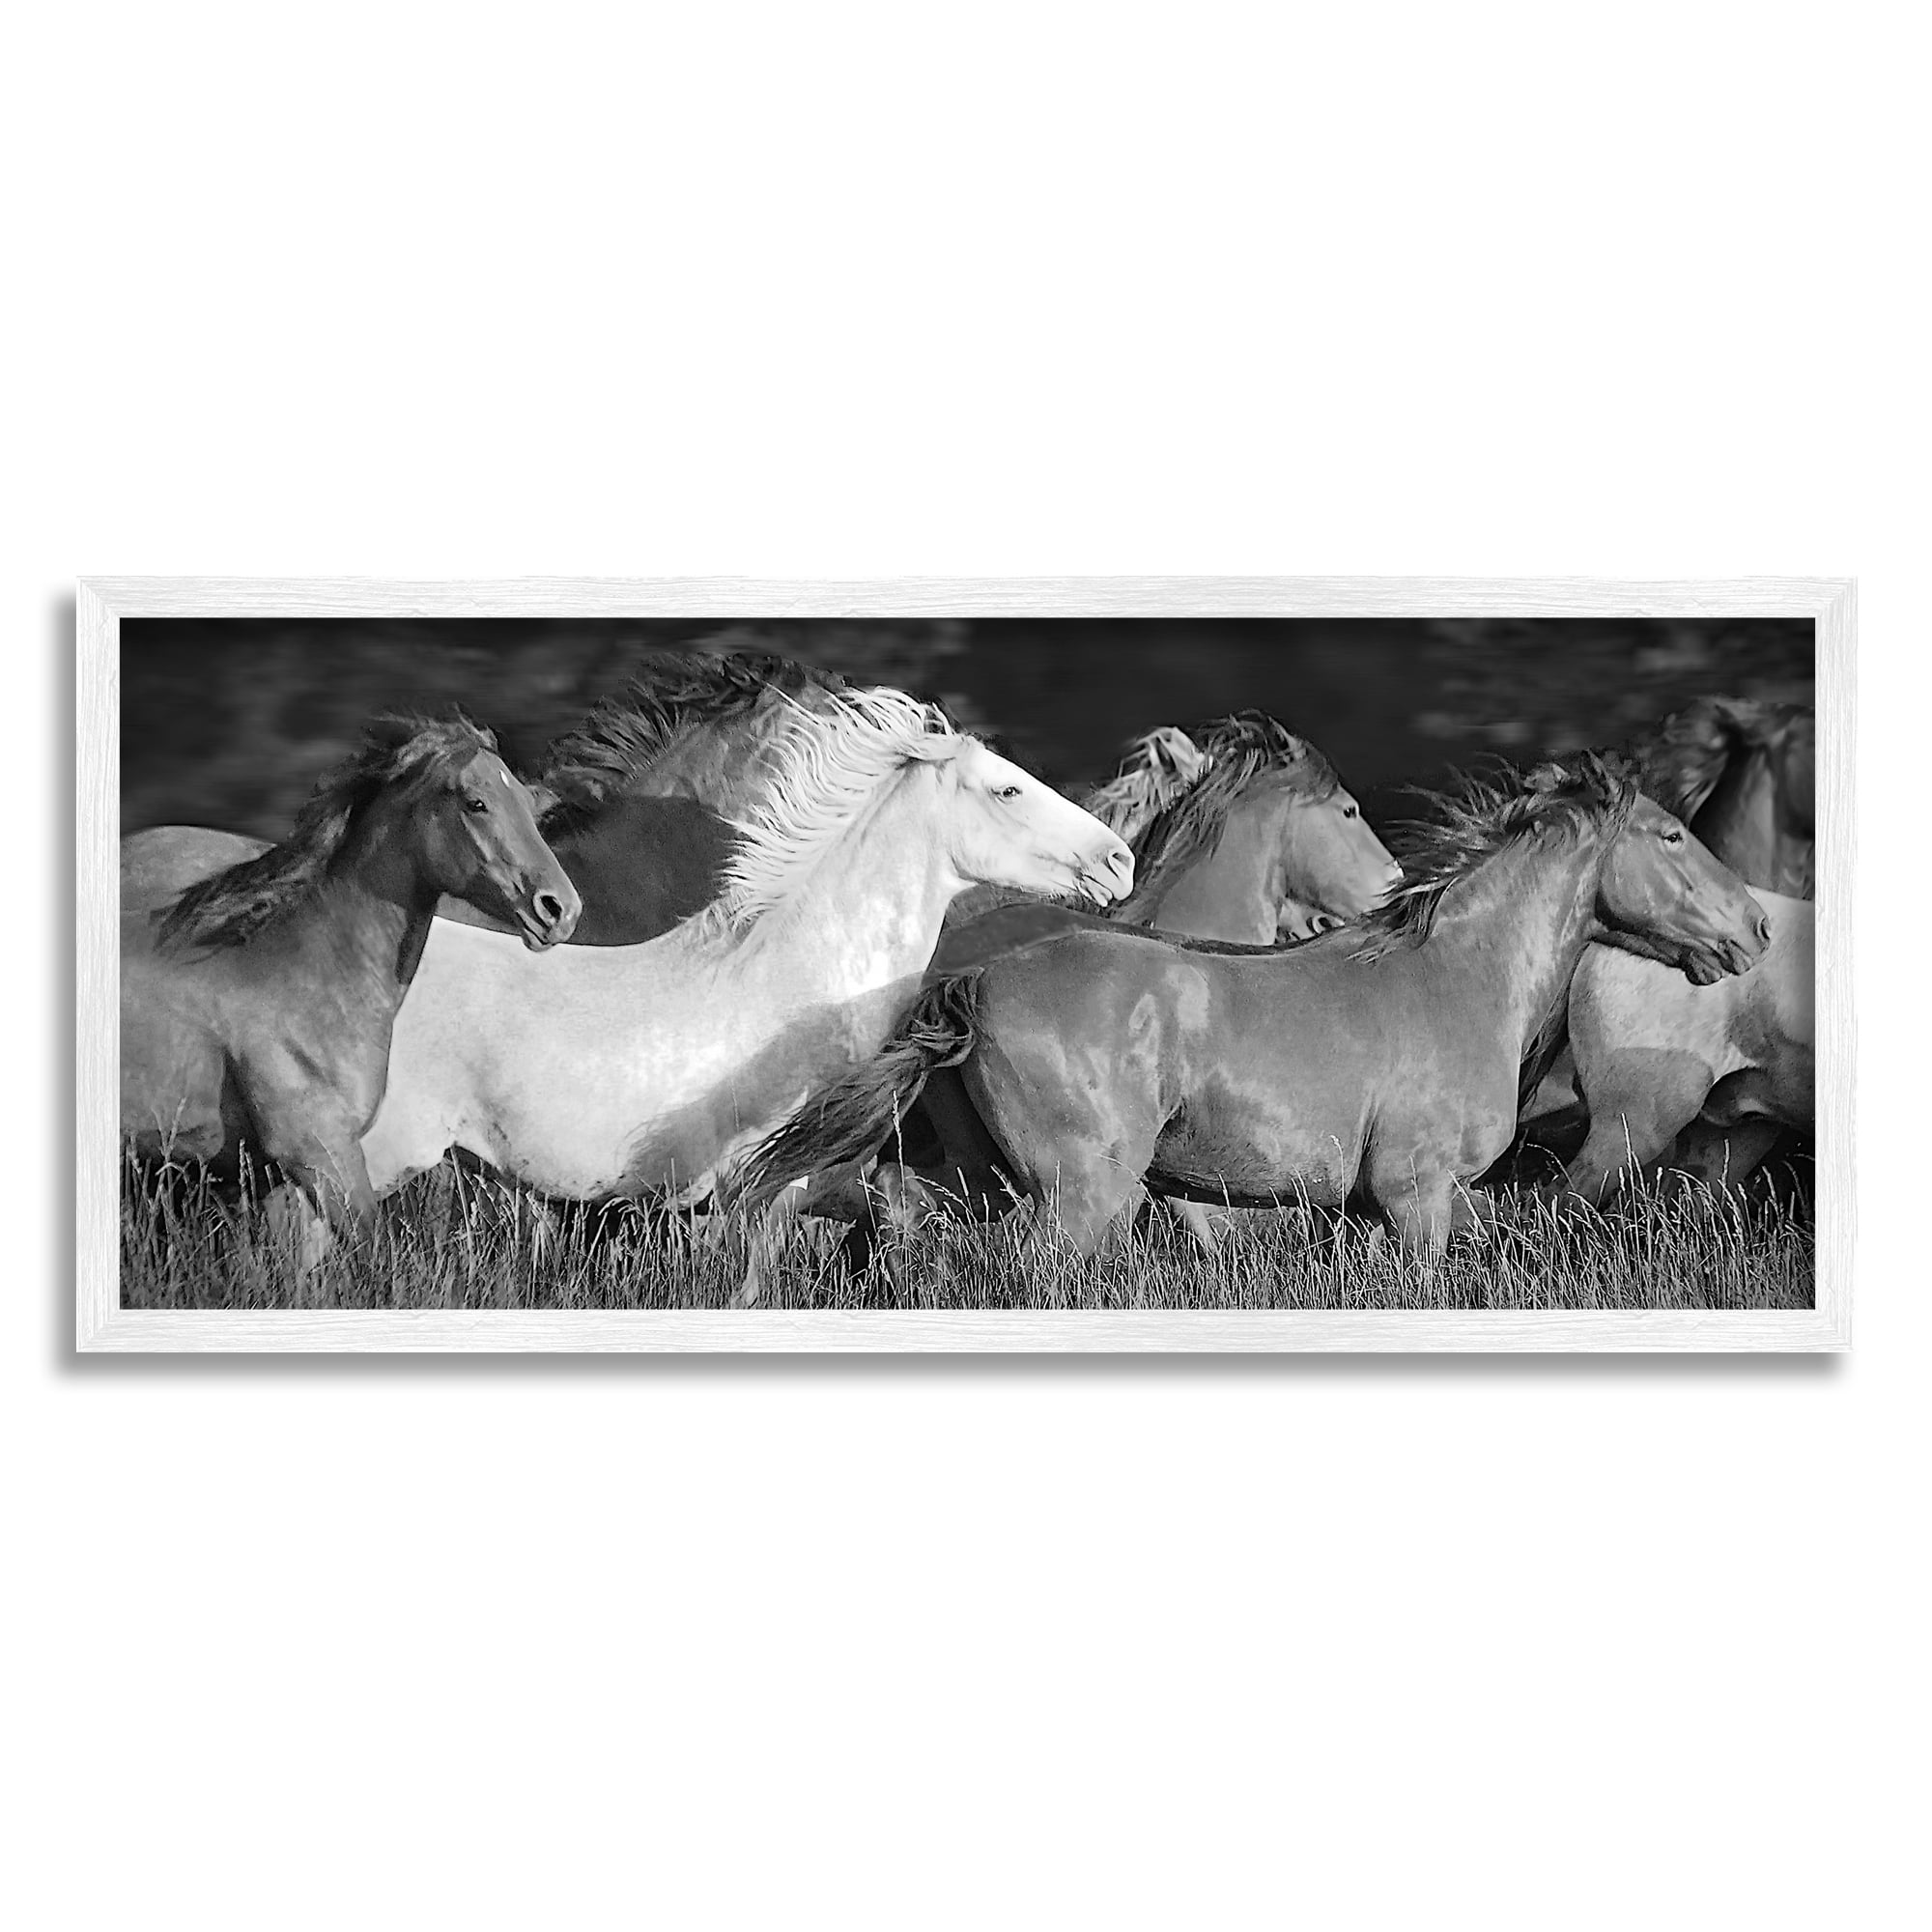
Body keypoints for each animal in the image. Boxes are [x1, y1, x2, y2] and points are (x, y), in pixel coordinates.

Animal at [120, 715, 580, 1262]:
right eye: (476, 802)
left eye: (531, 805)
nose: (560, 909)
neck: (299, 980)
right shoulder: (321, 1156)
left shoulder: (277, 1180)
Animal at [734, 755, 1770, 1269]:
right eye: (1670, 835)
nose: (1756, 929)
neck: (1461, 975)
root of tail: (970, 982)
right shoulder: (1417, 1197)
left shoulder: (1401, 1208)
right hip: (1081, 1195)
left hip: (971, 1178)